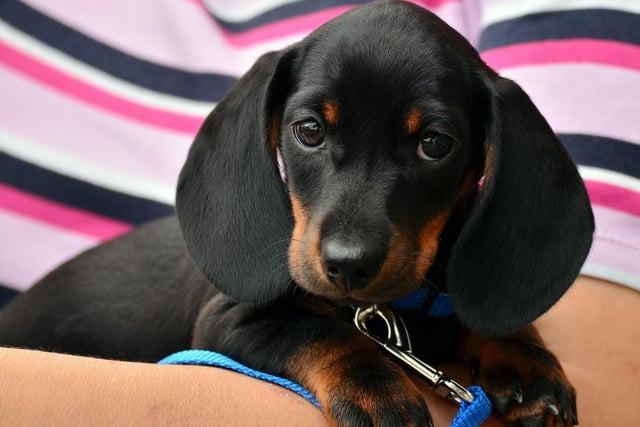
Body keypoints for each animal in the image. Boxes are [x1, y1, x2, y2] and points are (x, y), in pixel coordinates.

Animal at [0, 1, 596, 426]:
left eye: (435, 143)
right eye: (309, 130)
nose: (348, 266)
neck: (392, 313)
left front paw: (524, 356)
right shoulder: (227, 321)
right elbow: (321, 332)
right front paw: (377, 387)